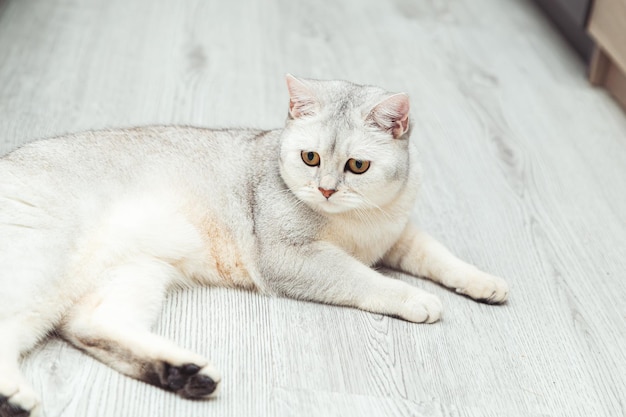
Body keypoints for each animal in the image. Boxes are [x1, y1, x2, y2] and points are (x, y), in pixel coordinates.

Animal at [0, 75, 508, 416]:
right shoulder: (291, 257)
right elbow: (363, 277)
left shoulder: (399, 235)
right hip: (44, 262)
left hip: (132, 272)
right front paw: (416, 298)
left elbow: (440, 255)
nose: (326, 190)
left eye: (358, 166)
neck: (360, 222)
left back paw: (183, 374)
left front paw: (484, 282)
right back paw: (14, 395)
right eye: (310, 158)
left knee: (92, 324)